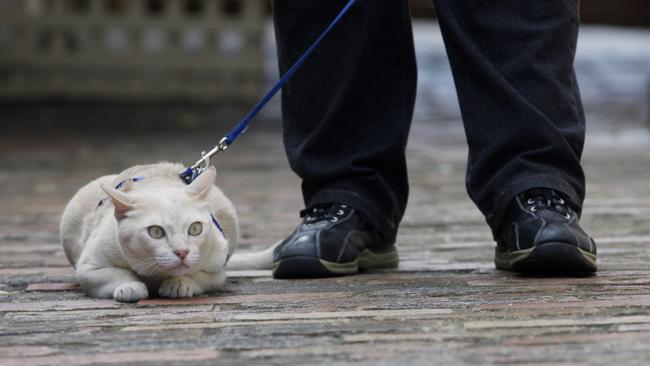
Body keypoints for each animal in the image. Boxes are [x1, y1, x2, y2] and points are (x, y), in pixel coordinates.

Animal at [58, 162, 239, 302]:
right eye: (156, 232)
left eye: (195, 229)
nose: (182, 252)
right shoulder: (88, 268)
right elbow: (115, 274)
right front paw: (130, 287)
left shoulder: (216, 271)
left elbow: (197, 275)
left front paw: (178, 283)